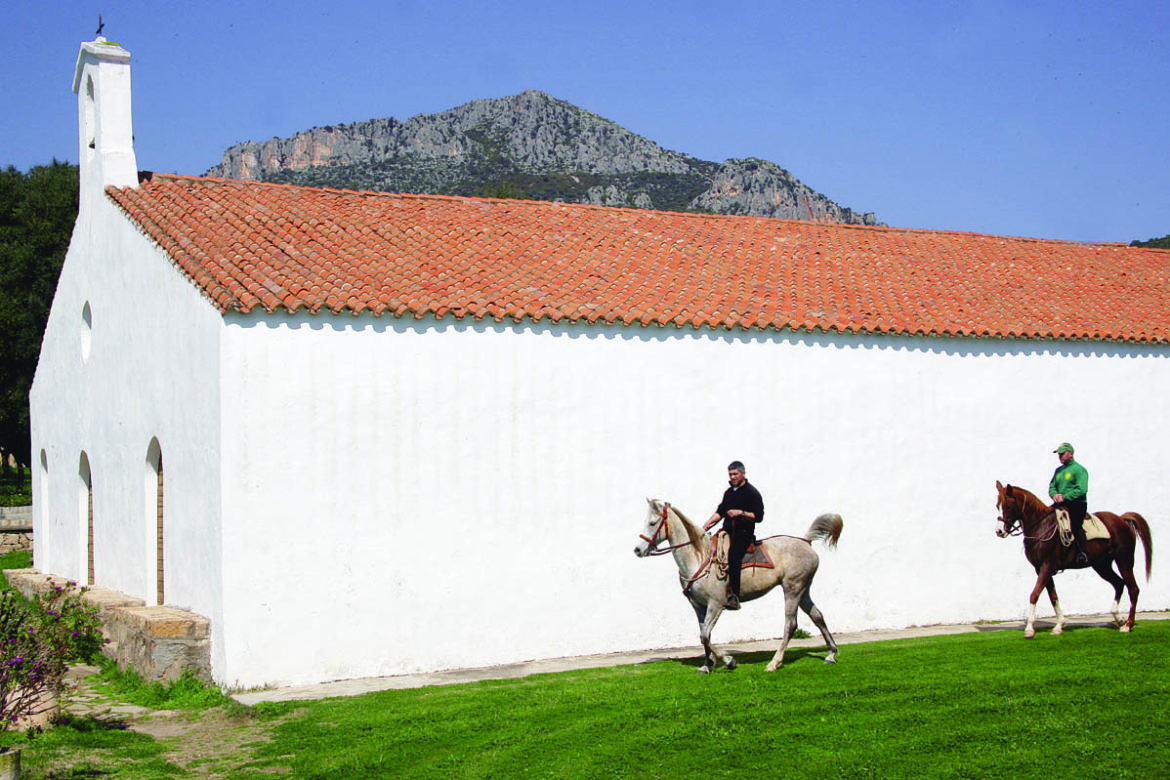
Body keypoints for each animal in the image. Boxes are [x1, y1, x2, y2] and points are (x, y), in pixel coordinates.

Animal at [633, 498, 843, 673]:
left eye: (653, 523)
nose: (637, 550)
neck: (699, 557)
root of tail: (806, 541)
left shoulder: (716, 604)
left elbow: (705, 635)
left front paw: (729, 661)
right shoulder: (698, 606)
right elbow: (703, 635)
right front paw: (707, 665)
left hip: (792, 589)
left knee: (790, 625)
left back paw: (774, 663)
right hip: (803, 590)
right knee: (817, 616)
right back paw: (831, 654)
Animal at [995, 481, 1153, 638]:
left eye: (1008, 506)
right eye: (997, 506)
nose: (999, 531)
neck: (1041, 527)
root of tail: (1122, 520)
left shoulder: (1047, 566)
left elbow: (1034, 594)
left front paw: (1029, 629)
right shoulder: (1040, 569)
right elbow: (1053, 597)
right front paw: (1059, 626)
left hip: (1124, 561)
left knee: (1133, 589)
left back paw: (1128, 625)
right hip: (1102, 566)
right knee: (1119, 584)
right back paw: (1119, 619)